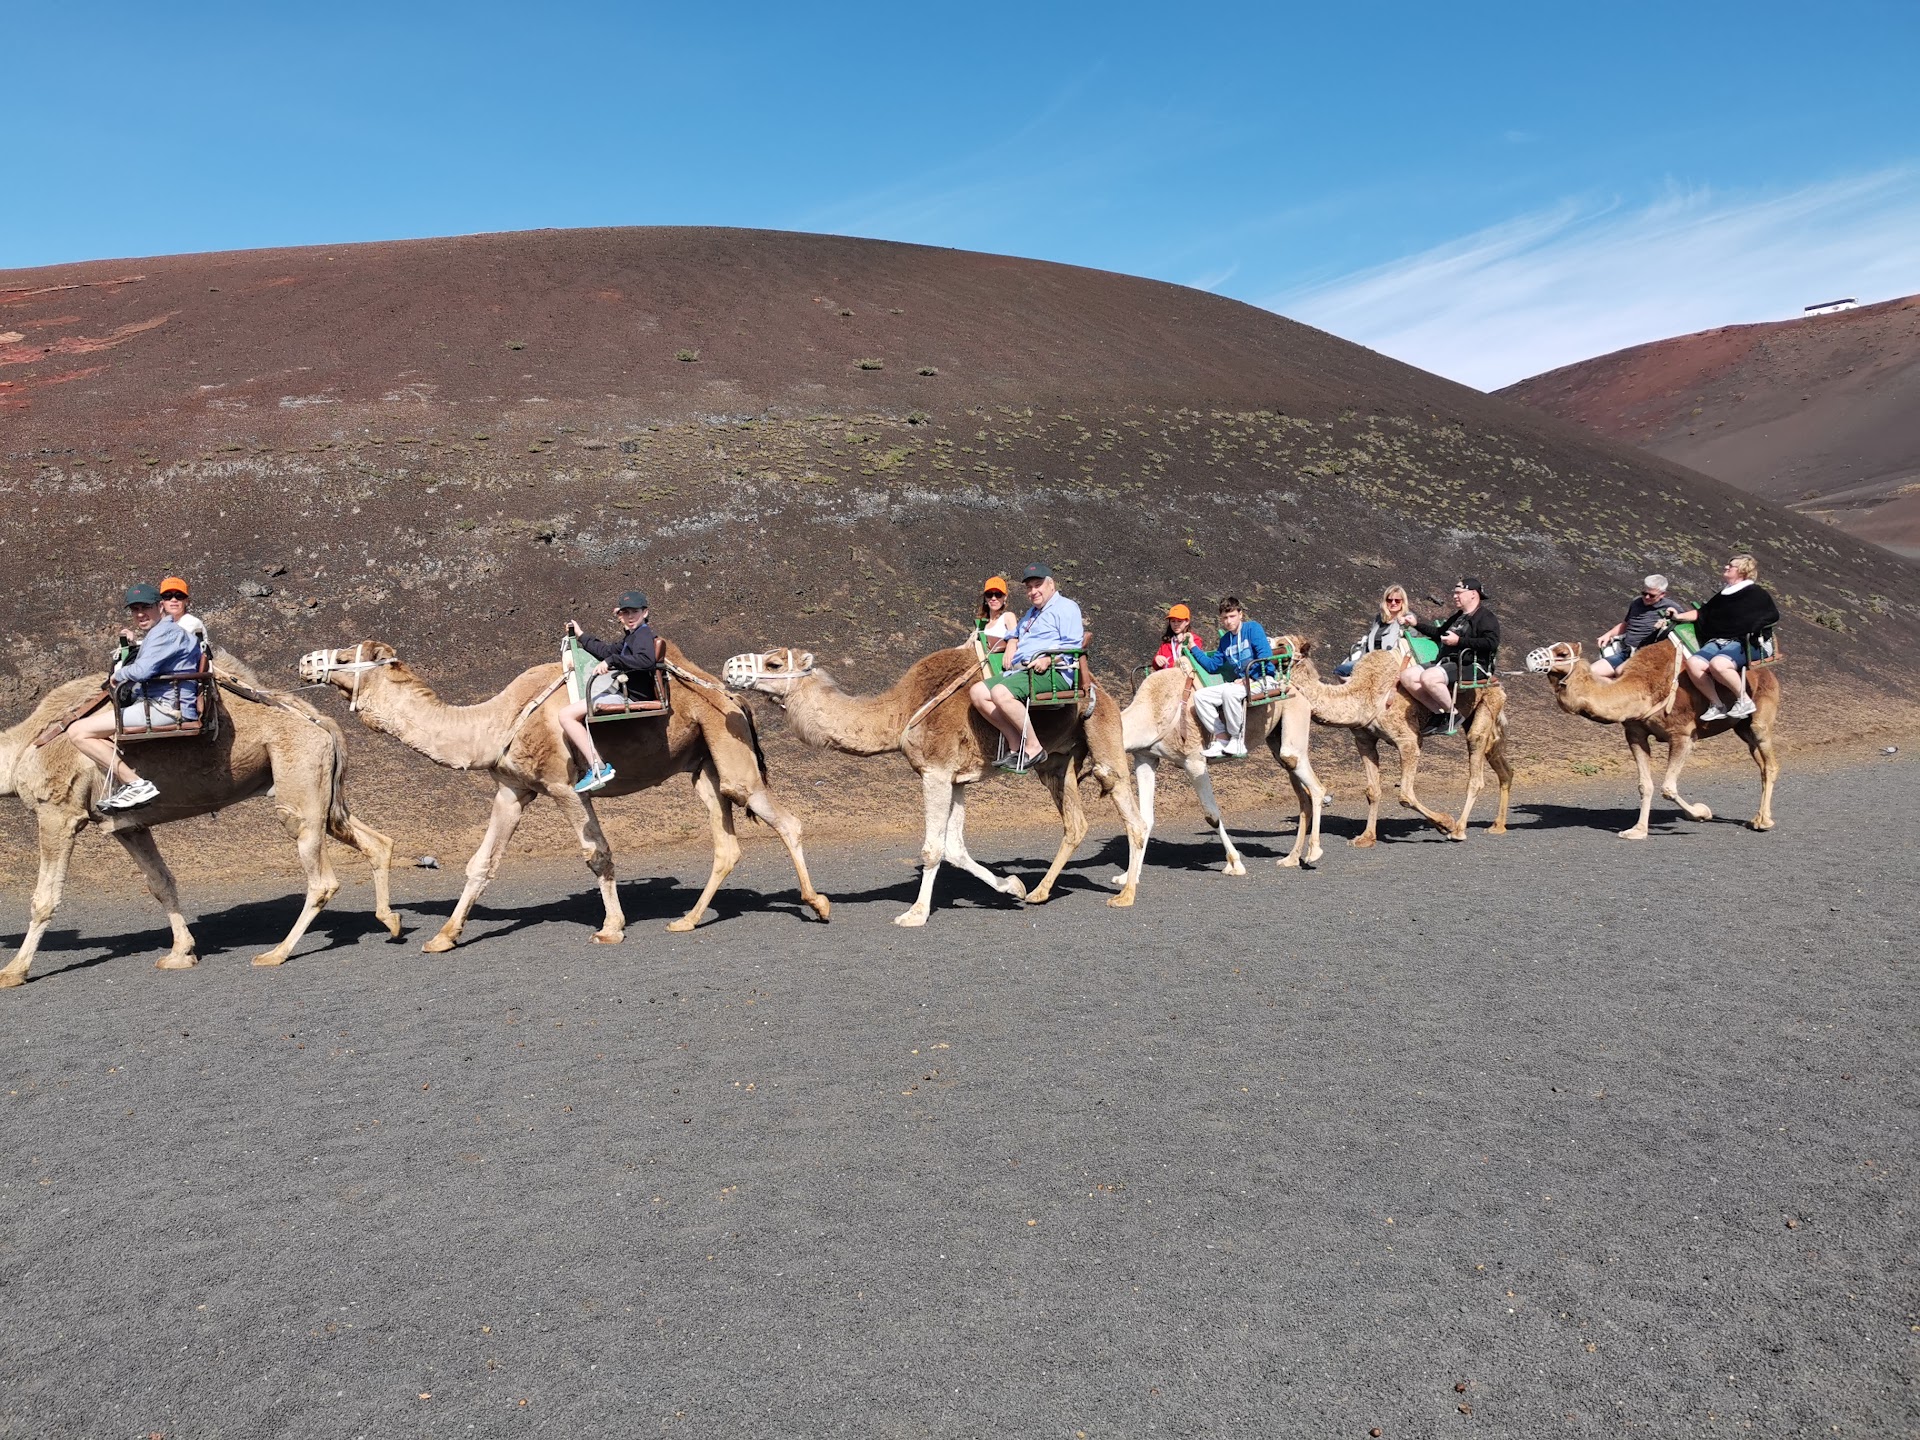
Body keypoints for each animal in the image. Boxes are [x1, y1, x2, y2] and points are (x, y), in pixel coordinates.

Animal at [2, 674, 401, 987]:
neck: (22, 748)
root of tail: (321, 721)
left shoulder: (57, 811)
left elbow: (44, 898)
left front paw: (14, 971)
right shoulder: (127, 826)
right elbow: (160, 883)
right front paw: (181, 953)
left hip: (298, 775)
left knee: (320, 876)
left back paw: (276, 953)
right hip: (319, 788)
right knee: (374, 840)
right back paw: (391, 921)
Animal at [297, 641, 830, 950]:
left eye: (343, 658)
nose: (304, 662)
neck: (495, 722)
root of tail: (734, 696)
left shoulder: (562, 784)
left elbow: (597, 853)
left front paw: (611, 927)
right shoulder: (513, 788)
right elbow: (482, 862)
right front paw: (444, 936)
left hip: (727, 743)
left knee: (783, 819)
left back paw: (818, 904)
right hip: (703, 764)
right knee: (726, 843)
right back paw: (687, 920)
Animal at [722, 644, 1147, 926]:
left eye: (774, 662)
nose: (728, 667)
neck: (901, 712)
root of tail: (1101, 688)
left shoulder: (936, 772)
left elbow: (932, 848)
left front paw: (915, 913)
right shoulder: (955, 779)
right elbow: (955, 847)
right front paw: (1012, 886)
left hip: (1103, 734)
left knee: (1132, 816)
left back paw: (1125, 895)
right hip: (1057, 763)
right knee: (1076, 823)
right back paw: (1040, 891)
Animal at [1276, 640, 1512, 845]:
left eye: (1282, 651)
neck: (1365, 694)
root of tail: (1495, 678)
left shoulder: (1409, 741)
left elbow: (1405, 795)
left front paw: (1445, 823)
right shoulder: (1364, 740)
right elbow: (1373, 790)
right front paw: (1366, 838)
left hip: (1488, 701)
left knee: (1476, 762)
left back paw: (1459, 829)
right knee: (1500, 762)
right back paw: (1497, 826)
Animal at [1525, 637, 1779, 837]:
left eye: (1562, 653)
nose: (1530, 658)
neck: (1642, 687)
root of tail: (1767, 671)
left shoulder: (1683, 735)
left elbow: (1668, 787)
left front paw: (1701, 812)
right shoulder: (1635, 733)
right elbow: (1644, 785)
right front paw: (1637, 830)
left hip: (1760, 719)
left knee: (1770, 763)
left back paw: (1765, 822)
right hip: (1742, 728)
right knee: (1761, 763)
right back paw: (1756, 818)